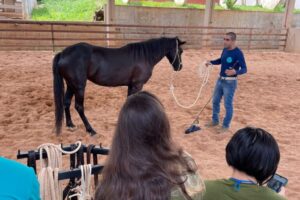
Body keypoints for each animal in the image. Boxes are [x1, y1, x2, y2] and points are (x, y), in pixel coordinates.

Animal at [53, 37, 185, 136]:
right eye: (180, 51)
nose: (179, 67)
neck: (144, 56)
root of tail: (63, 53)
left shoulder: (131, 85)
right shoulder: (137, 85)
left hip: (71, 85)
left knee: (66, 102)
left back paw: (70, 125)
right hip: (79, 86)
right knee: (79, 106)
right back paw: (90, 130)